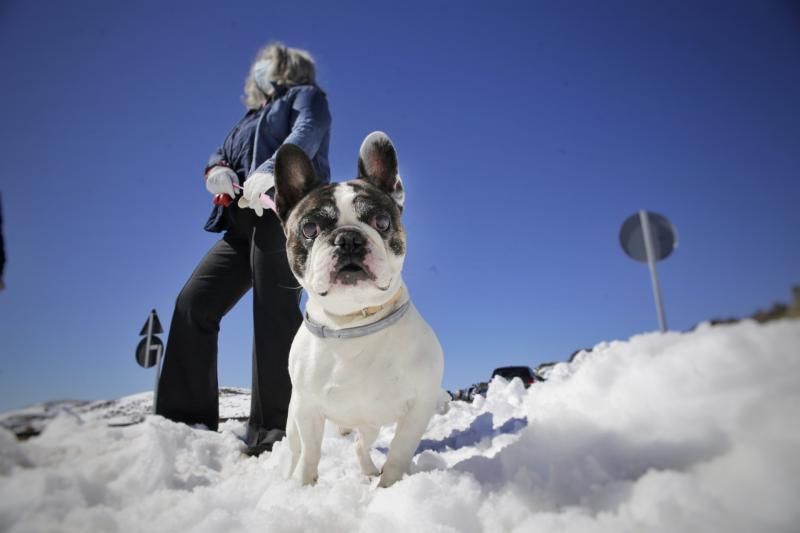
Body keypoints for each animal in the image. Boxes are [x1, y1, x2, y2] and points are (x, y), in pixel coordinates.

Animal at [270, 130, 444, 486]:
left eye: (382, 221)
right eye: (309, 229)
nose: (349, 238)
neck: (351, 323)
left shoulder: (419, 406)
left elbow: (400, 452)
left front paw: (389, 488)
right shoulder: (308, 409)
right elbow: (311, 454)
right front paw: (304, 487)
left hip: (371, 422)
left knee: (360, 446)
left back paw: (368, 472)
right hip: (294, 420)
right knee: (296, 451)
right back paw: (287, 479)